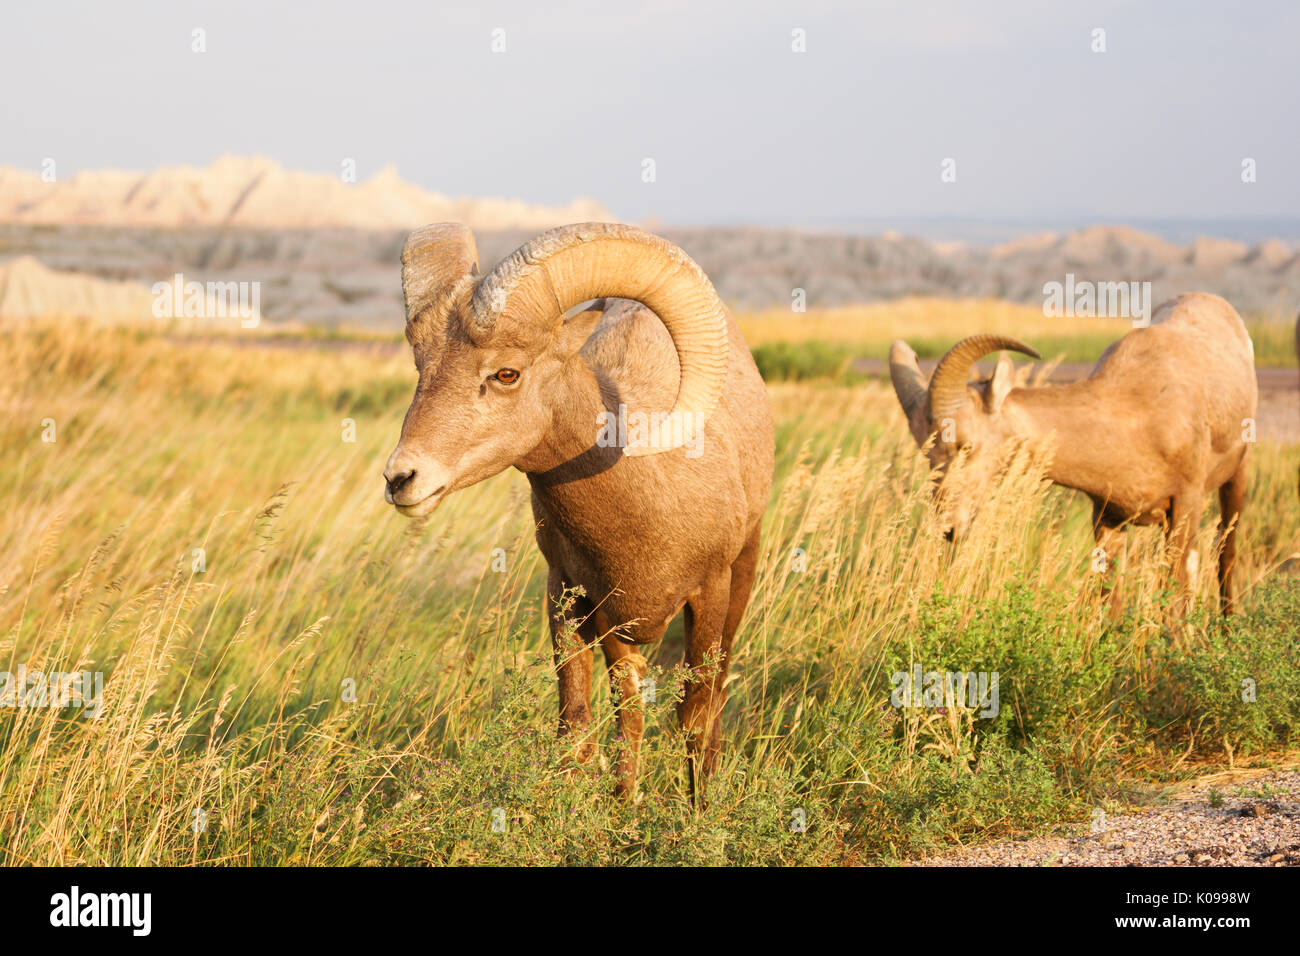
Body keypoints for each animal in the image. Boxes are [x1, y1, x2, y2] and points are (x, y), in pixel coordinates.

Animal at [382, 221, 769, 796]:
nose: (401, 479)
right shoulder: (572, 599)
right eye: (420, 366)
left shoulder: (710, 594)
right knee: (629, 710)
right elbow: (578, 724)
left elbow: (696, 717)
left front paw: (700, 808)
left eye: (506, 374)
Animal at [889, 291, 1253, 616]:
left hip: (1235, 481)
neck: (1136, 412)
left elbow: (1175, 607)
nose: (950, 528)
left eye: (965, 444)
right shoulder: (1107, 520)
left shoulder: (1184, 507)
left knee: (1226, 556)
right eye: (927, 452)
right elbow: (1111, 606)